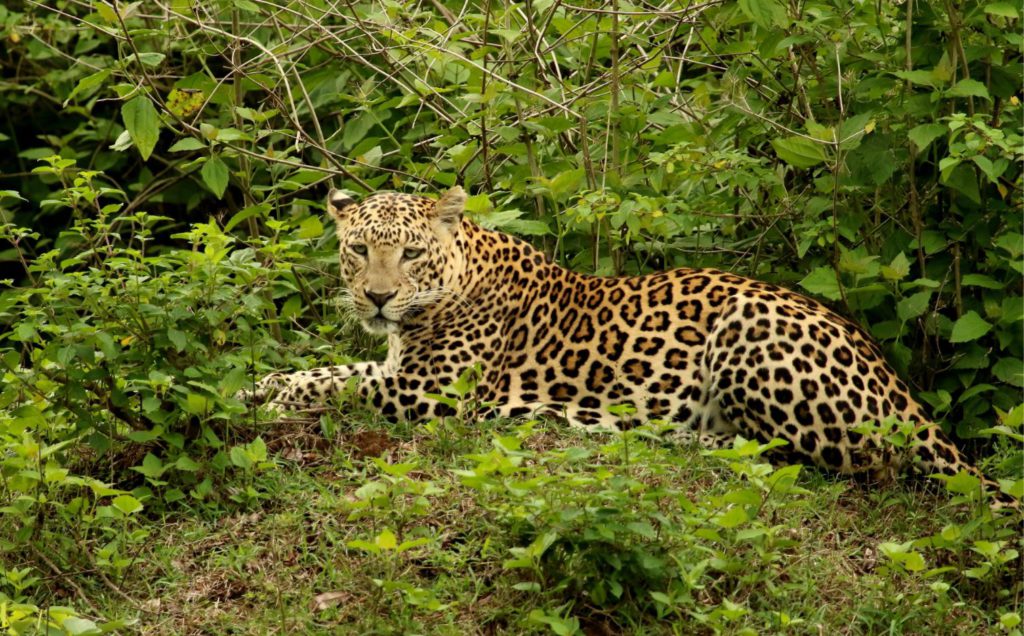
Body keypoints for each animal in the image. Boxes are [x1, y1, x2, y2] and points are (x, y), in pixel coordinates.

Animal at [245, 184, 1015, 505]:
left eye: (407, 253)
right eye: (357, 250)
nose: (376, 298)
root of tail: (900, 390)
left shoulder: (427, 393)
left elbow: (330, 380)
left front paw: (263, 395)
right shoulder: (395, 365)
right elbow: (333, 365)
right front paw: (259, 387)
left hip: (751, 336)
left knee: (860, 466)